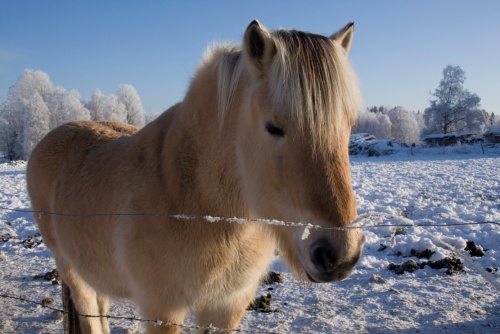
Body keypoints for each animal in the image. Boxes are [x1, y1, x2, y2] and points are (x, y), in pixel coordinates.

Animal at [26, 20, 364, 334]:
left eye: (348, 125)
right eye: (273, 127)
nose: (339, 254)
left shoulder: (226, 307)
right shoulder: (162, 310)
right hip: (71, 271)